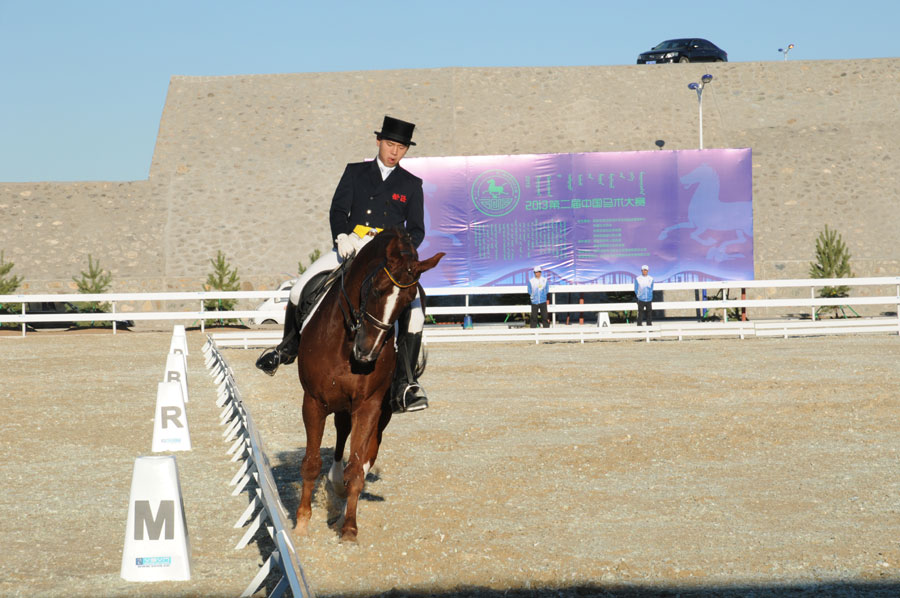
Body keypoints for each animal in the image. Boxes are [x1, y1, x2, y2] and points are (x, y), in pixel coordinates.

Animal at [294, 229, 444, 544]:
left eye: (408, 300)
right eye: (376, 288)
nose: (367, 353)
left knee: (363, 455)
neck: (346, 341)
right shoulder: (313, 401)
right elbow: (311, 463)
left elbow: (357, 468)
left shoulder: (368, 406)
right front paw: (301, 523)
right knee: (341, 436)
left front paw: (349, 527)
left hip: (378, 413)